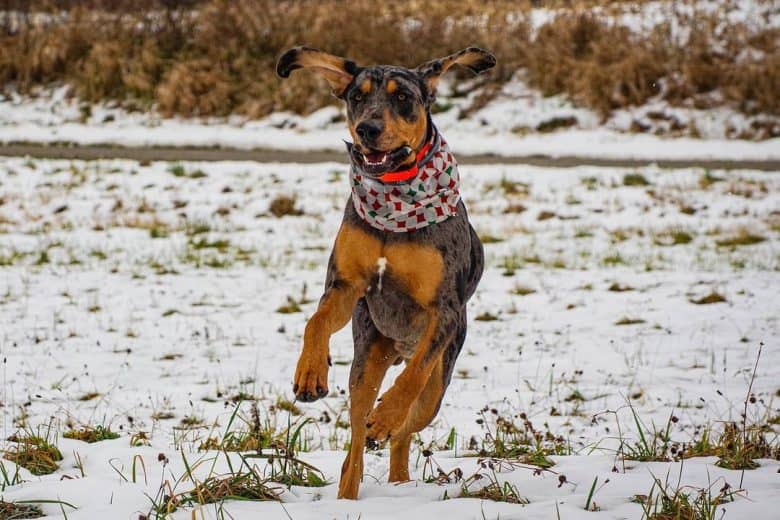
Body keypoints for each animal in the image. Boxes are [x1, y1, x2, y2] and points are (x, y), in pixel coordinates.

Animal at [274, 46, 494, 498]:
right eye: (356, 97)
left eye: (403, 97)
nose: (367, 129)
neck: (396, 197)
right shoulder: (345, 286)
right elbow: (316, 320)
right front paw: (309, 372)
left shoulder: (444, 312)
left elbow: (413, 376)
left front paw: (387, 414)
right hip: (368, 354)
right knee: (357, 436)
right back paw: (351, 486)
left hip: (437, 386)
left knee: (408, 422)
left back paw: (391, 446)